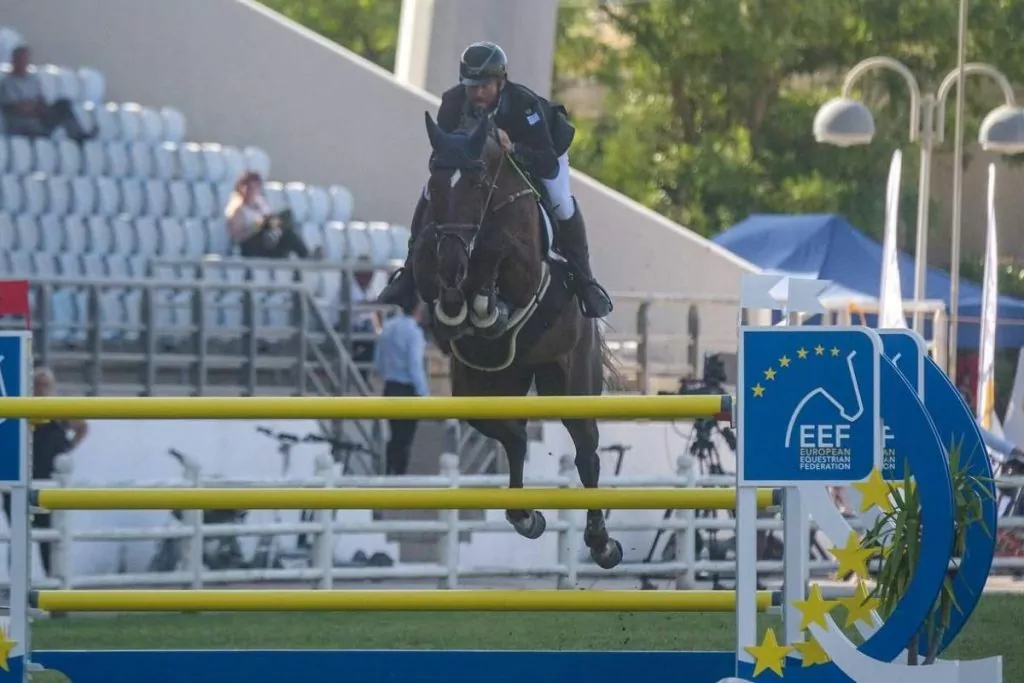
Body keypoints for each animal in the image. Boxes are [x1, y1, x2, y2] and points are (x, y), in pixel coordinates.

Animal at [409, 113, 618, 573]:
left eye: (477, 184)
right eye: (434, 183)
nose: (453, 264)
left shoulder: (523, 267)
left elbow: (498, 247)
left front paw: (484, 298)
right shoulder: (429, 261)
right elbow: (430, 263)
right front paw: (462, 306)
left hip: (570, 378)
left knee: (586, 452)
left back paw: (601, 543)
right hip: (482, 388)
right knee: (514, 436)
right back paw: (526, 517)